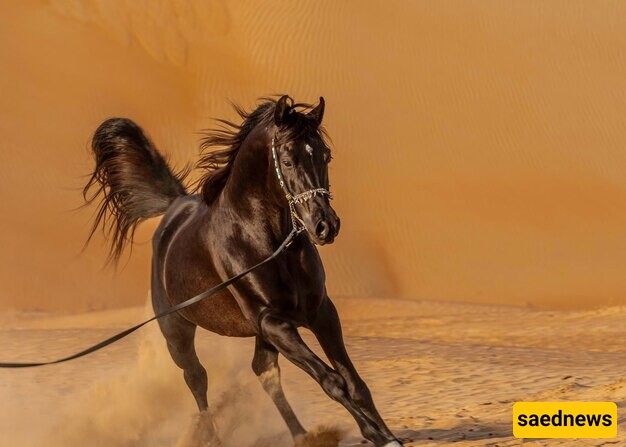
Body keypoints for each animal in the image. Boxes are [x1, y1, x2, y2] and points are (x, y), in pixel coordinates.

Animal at [81, 95, 400, 447]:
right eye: (287, 161)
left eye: (325, 155)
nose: (325, 226)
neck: (263, 240)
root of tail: (174, 209)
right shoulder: (273, 322)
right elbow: (333, 382)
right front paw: (375, 434)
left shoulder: (318, 313)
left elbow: (354, 382)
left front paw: (386, 436)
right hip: (178, 332)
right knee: (197, 379)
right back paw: (213, 438)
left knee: (264, 372)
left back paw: (302, 435)